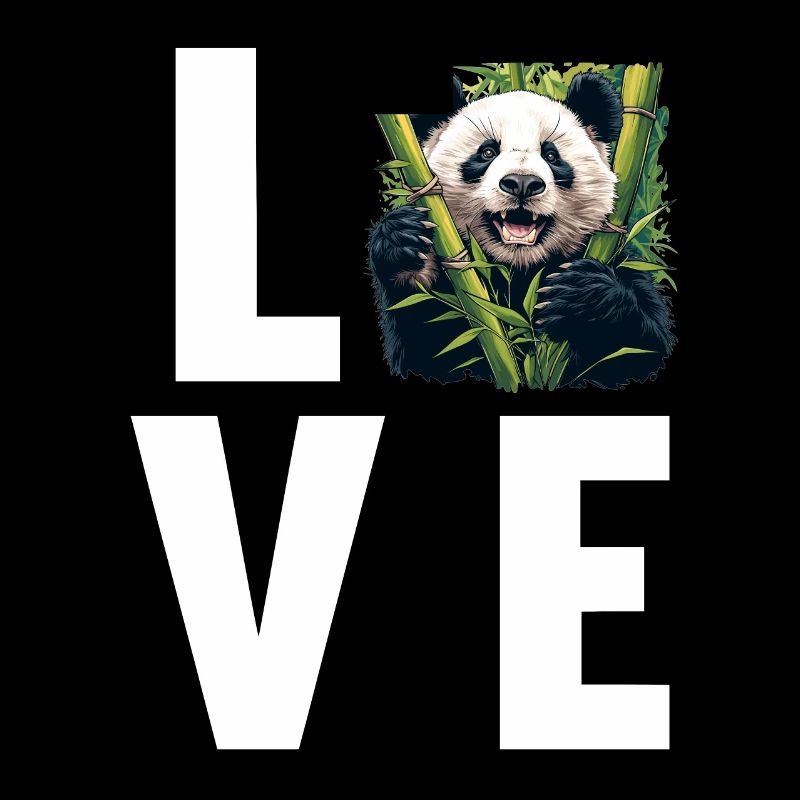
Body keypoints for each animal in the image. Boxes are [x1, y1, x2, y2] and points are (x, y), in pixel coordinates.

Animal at [368, 74, 675, 388]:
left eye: (551, 155)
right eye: (487, 152)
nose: (522, 183)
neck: (519, 267)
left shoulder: (617, 259)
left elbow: (640, 350)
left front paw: (583, 295)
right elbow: (427, 346)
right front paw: (404, 244)